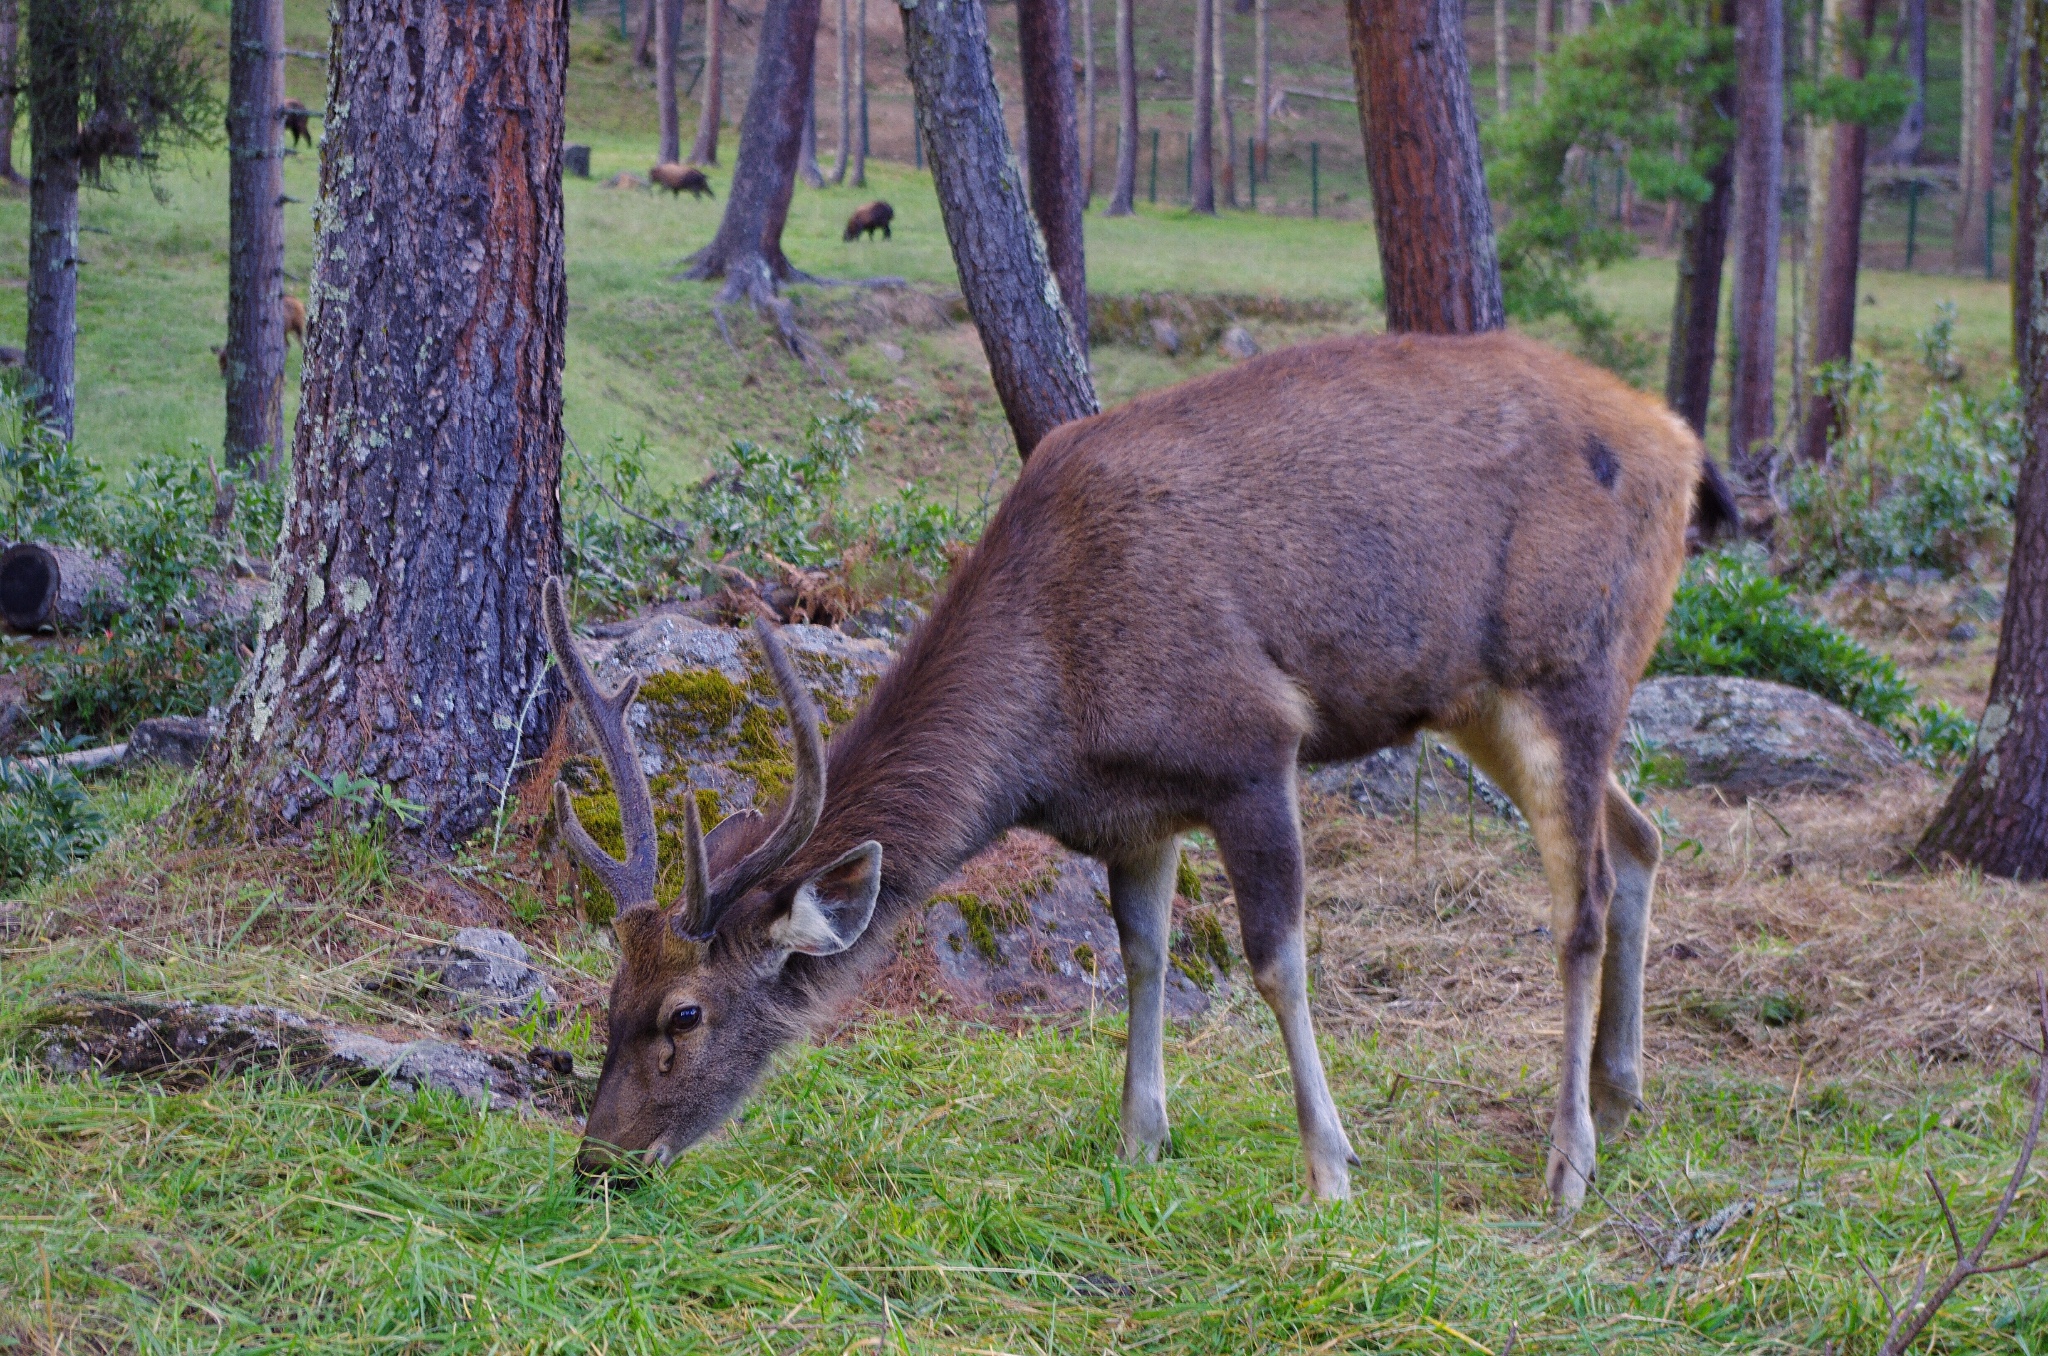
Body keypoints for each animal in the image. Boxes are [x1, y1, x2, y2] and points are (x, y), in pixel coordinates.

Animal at [552, 333, 1736, 1212]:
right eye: (609, 998)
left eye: (685, 1016)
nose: (596, 1162)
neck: (1056, 707)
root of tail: (1684, 449)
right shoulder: (1135, 811)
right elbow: (1142, 958)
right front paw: (1138, 1140)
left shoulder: (1251, 745)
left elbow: (1276, 962)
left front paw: (1329, 1169)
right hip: (1483, 697)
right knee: (1640, 835)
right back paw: (1620, 1100)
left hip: (1568, 663)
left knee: (1579, 901)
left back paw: (1568, 1161)